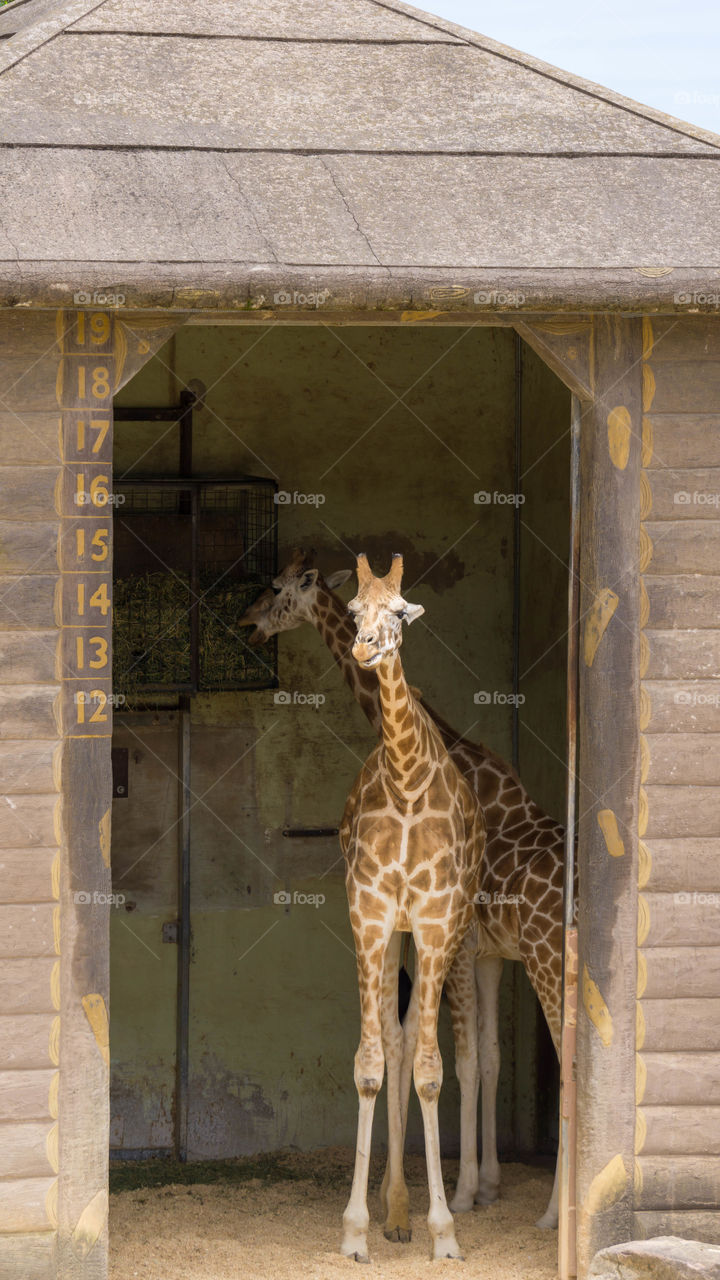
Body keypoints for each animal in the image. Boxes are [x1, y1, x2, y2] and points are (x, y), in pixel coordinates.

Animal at [239, 550, 567, 1228]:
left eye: (278, 589)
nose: (248, 621)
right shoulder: (487, 954)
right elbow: (484, 1056)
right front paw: (482, 1185)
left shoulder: (459, 940)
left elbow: (449, 1054)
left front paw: (454, 1196)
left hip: (549, 962)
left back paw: (552, 1214)